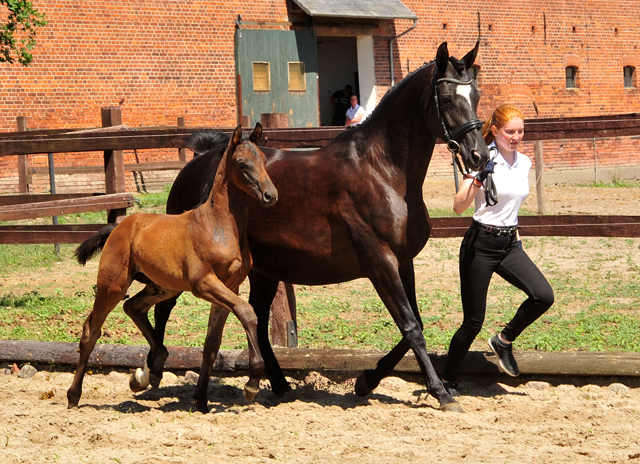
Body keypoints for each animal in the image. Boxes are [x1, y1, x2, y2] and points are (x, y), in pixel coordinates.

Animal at [67, 123, 278, 410]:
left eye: (264, 160)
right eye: (242, 163)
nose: (271, 195)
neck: (218, 226)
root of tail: (118, 226)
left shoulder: (230, 285)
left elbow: (213, 343)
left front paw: (201, 400)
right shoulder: (204, 283)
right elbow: (247, 312)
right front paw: (252, 383)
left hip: (163, 286)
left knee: (133, 306)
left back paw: (153, 366)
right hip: (112, 285)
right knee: (92, 329)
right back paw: (73, 395)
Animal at [131, 41, 490, 412]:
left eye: (476, 94)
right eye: (446, 98)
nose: (479, 156)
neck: (384, 171)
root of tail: (196, 163)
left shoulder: (404, 263)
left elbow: (414, 324)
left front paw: (366, 380)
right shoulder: (381, 263)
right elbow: (411, 327)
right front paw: (441, 393)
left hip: (263, 271)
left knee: (258, 322)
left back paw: (276, 385)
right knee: (164, 306)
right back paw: (150, 372)